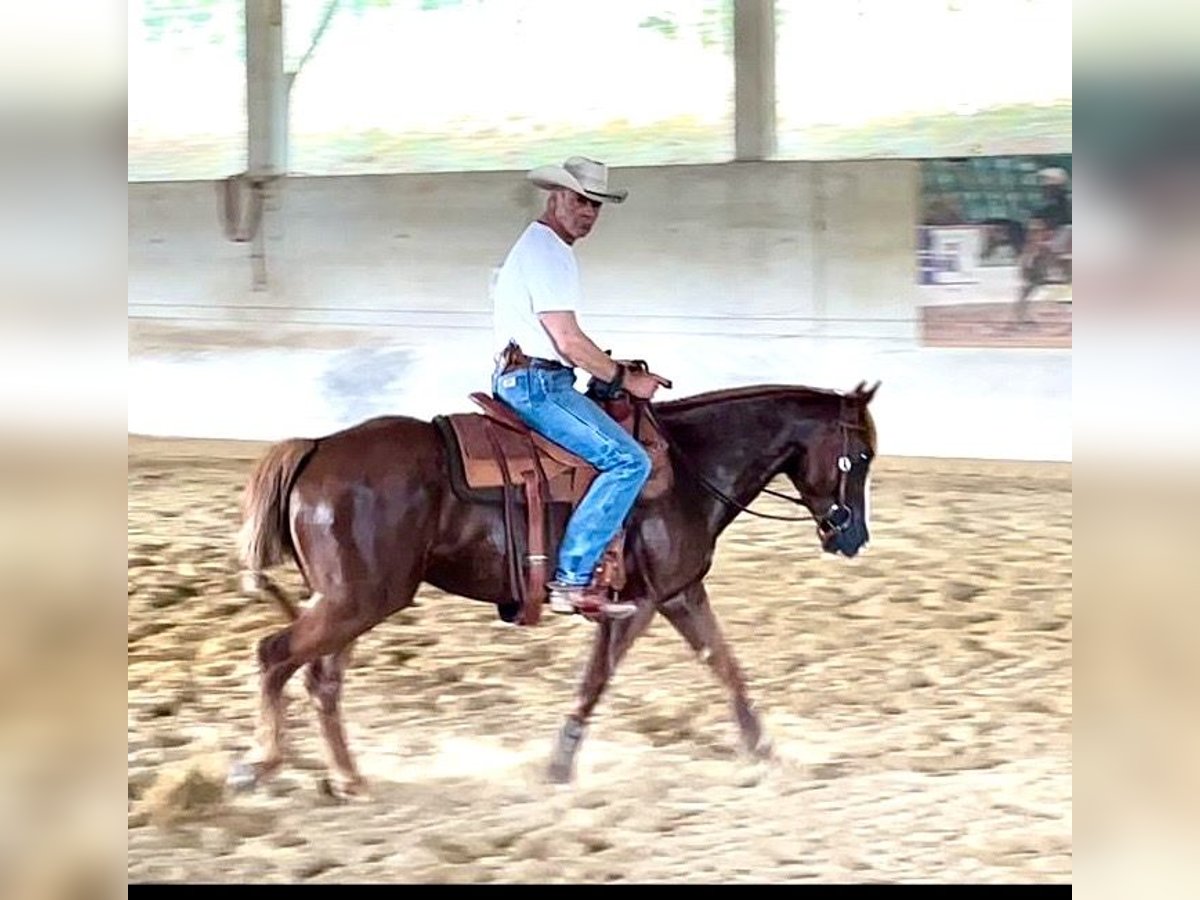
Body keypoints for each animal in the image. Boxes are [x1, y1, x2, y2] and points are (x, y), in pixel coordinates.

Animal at [229, 381, 878, 796]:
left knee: (321, 680)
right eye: (863, 455)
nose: (852, 536)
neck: (691, 465)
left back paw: (348, 779)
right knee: (276, 655)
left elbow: (725, 665)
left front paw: (768, 752)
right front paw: (559, 766)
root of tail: (316, 448)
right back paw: (259, 765)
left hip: (354, 602)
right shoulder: (638, 604)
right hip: (357, 600)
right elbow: (595, 682)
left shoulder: (680, 594)